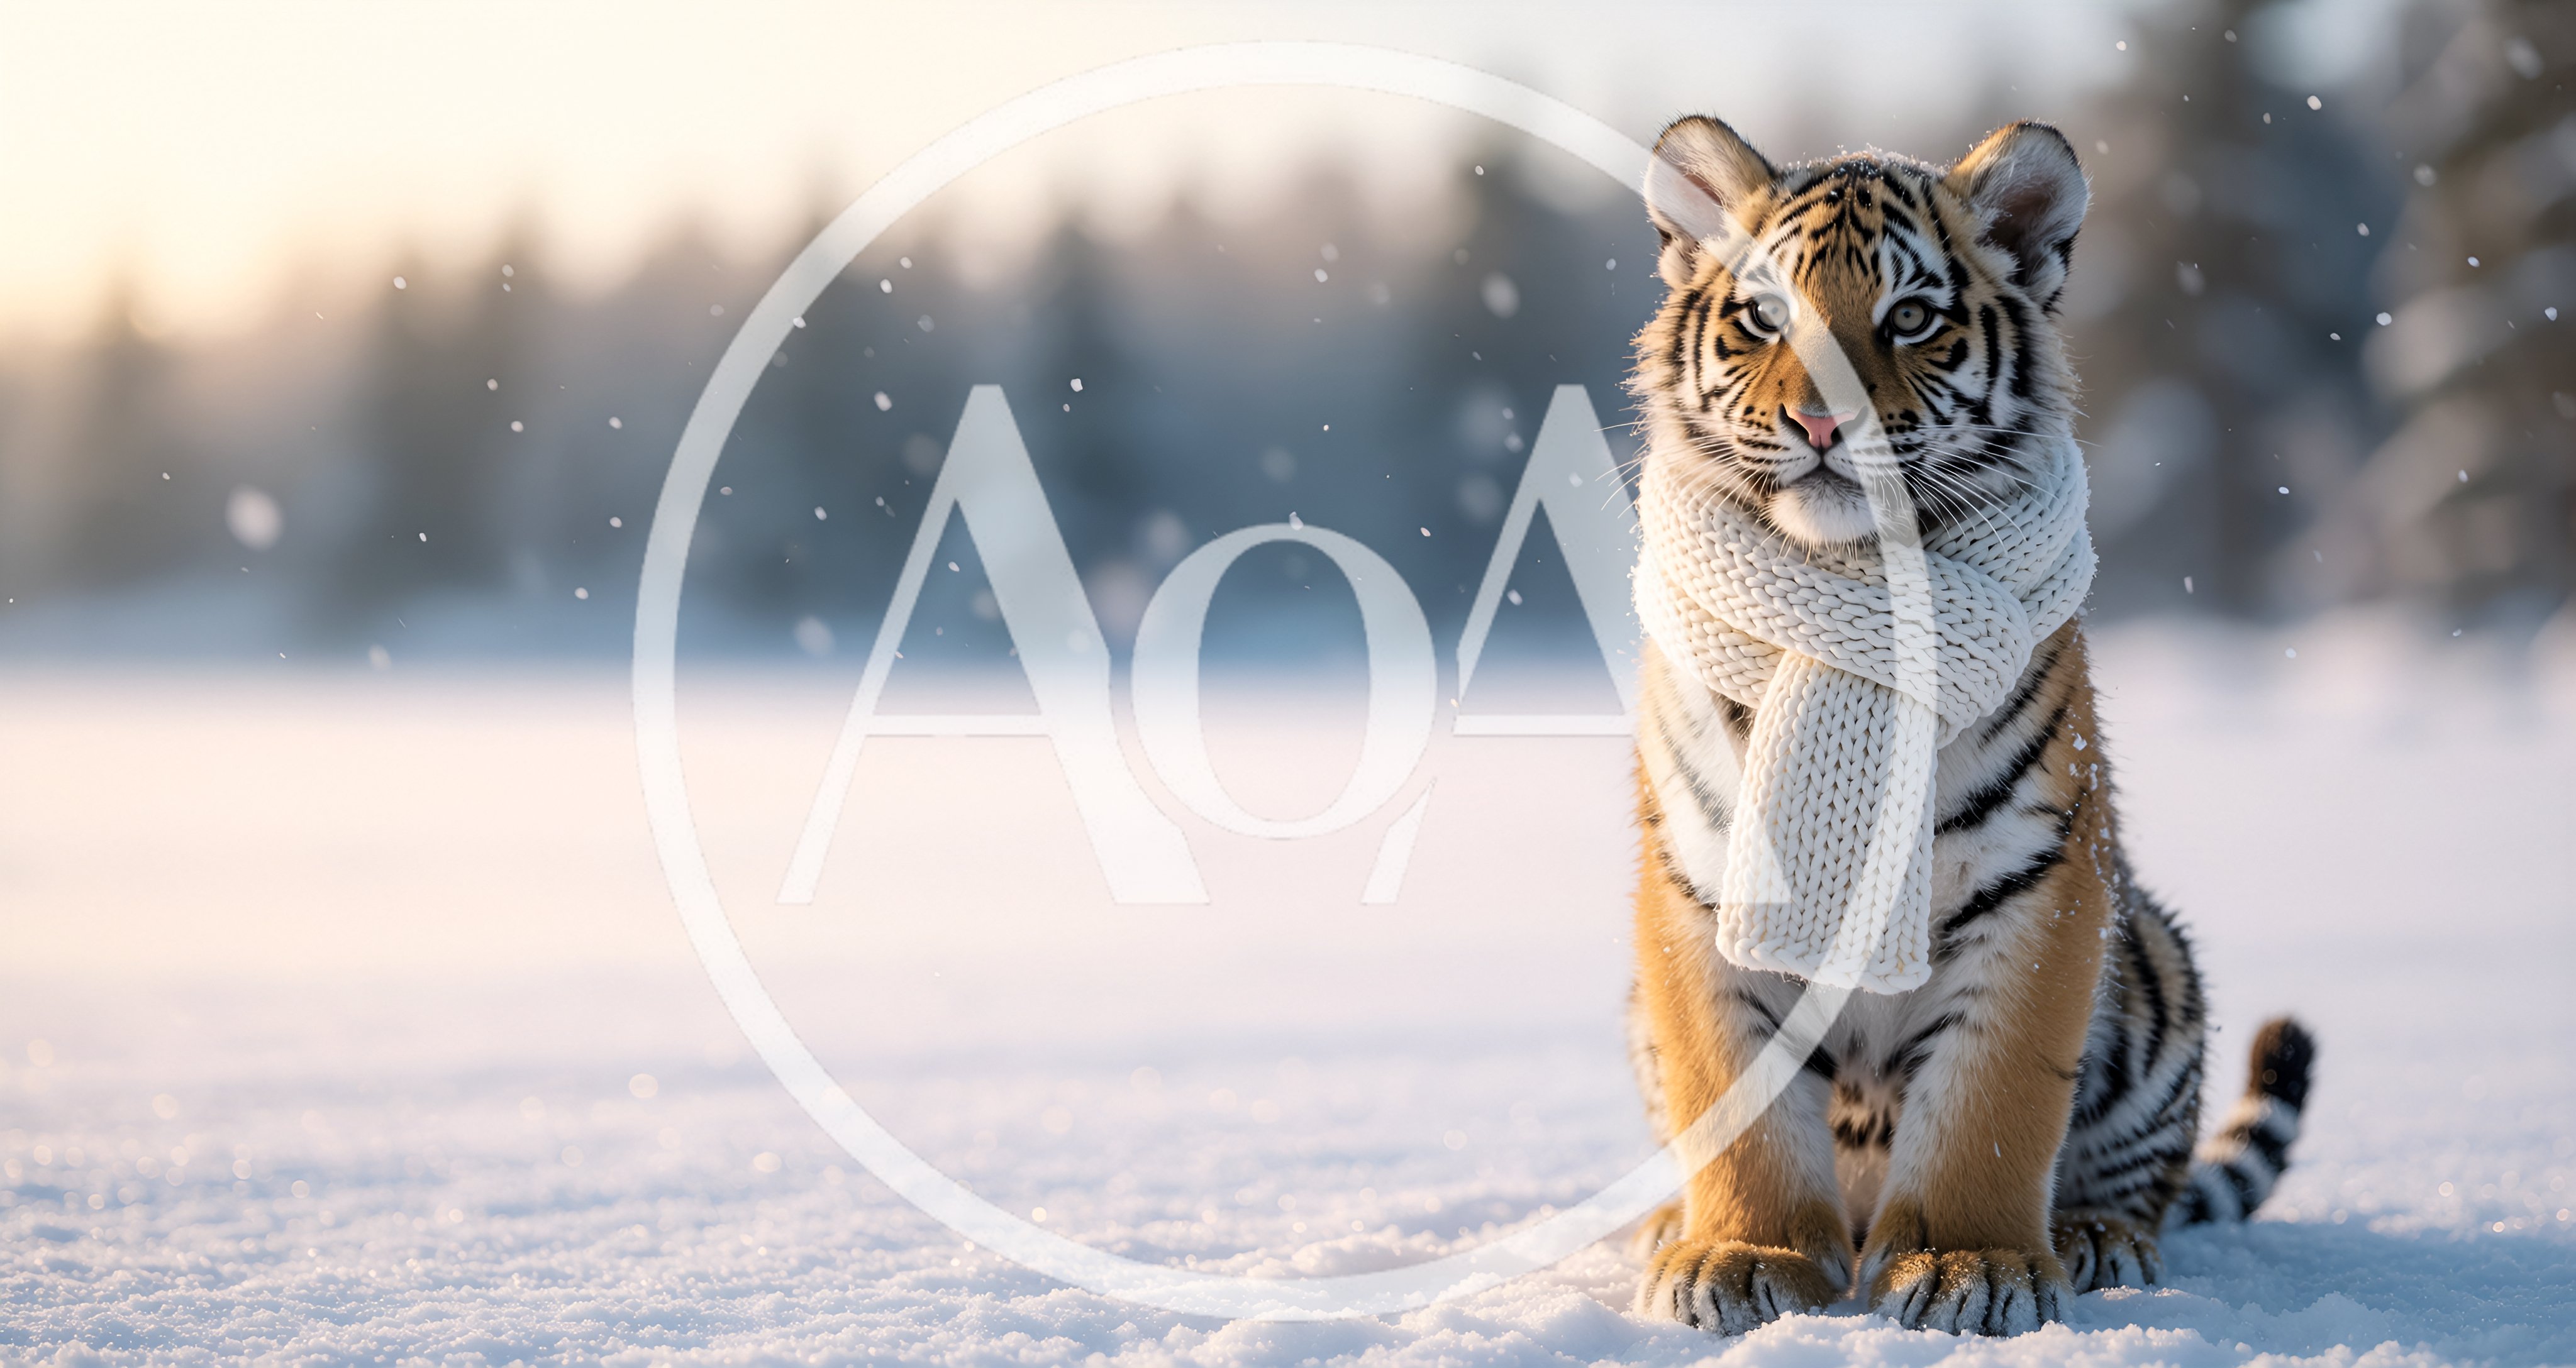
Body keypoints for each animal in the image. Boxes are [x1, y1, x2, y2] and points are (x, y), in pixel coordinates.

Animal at [1620, 115, 2317, 1336]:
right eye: (1765, 314)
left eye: (1910, 317)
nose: (1820, 421)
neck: (1849, 583)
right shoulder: (1700, 883)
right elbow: (1732, 1093)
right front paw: (1744, 1254)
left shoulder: (2039, 877)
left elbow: (1992, 1103)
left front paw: (1967, 1265)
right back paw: (1670, 1225)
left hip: (2154, 960)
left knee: (2144, 1178)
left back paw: (2092, 1238)